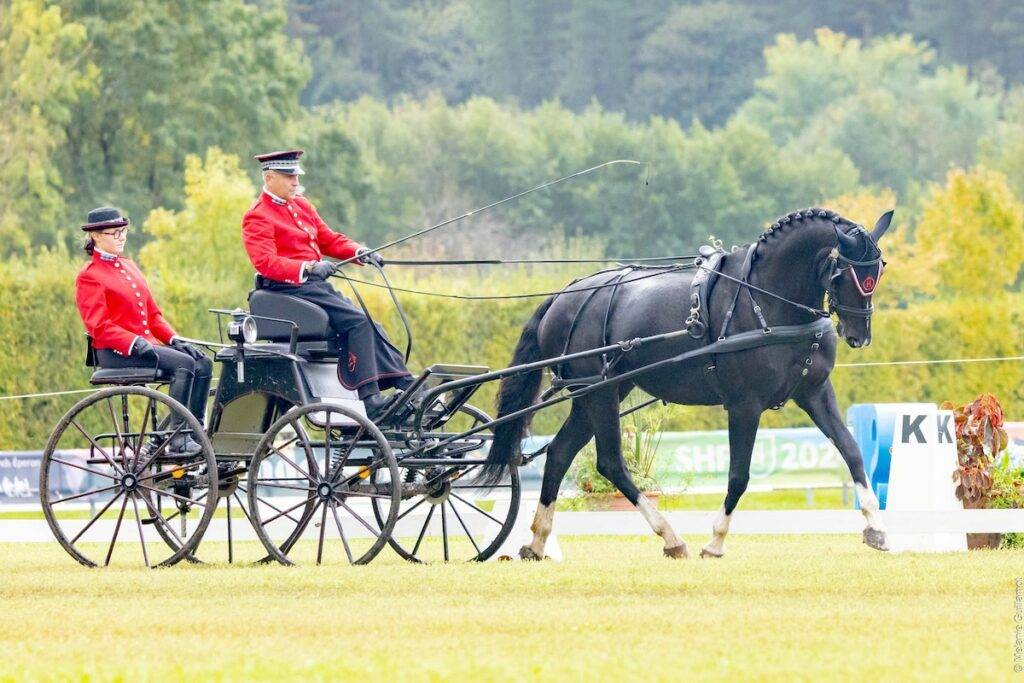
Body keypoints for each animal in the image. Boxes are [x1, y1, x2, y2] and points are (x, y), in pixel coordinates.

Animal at [478, 207, 894, 560]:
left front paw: (876, 528)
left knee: (560, 453)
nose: (859, 335)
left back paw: (537, 541)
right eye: (845, 274)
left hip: (597, 392)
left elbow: (852, 451)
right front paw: (716, 541)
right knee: (610, 462)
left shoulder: (814, 393)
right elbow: (739, 475)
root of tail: (563, 297)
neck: (767, 300)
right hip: (600, 394)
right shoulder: (744, 405)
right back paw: (670, 537)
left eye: (879, 270)